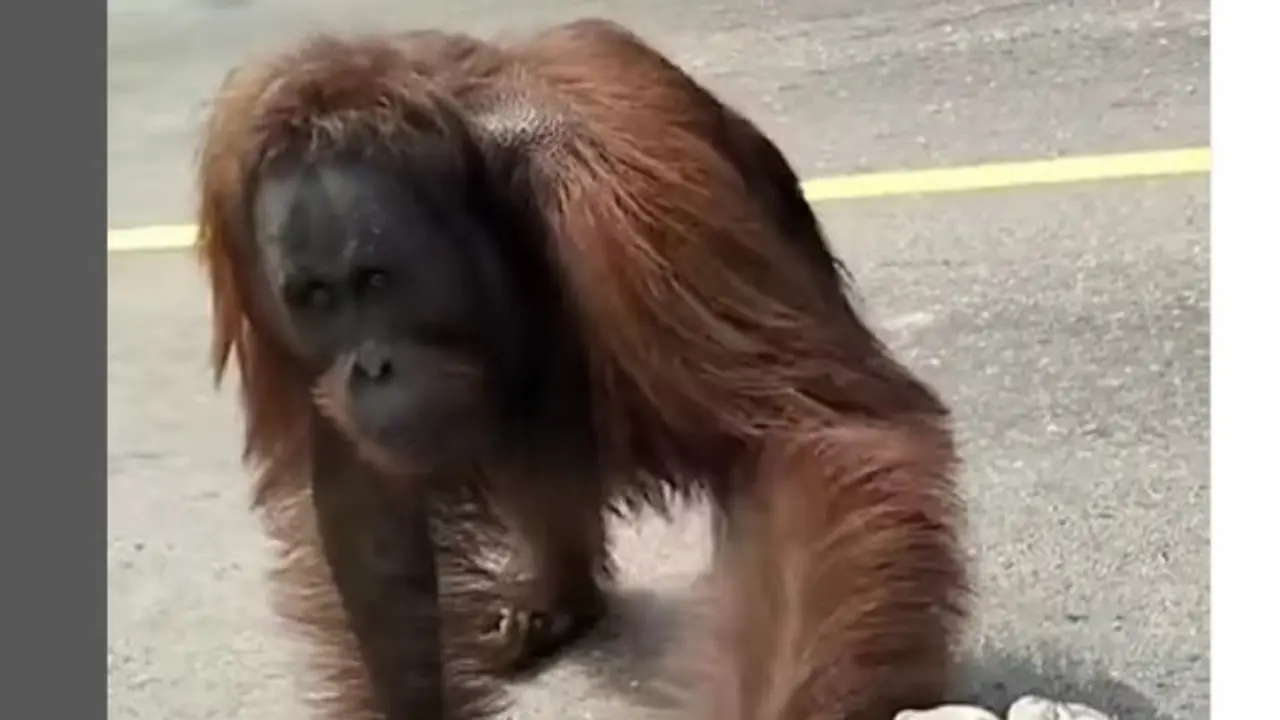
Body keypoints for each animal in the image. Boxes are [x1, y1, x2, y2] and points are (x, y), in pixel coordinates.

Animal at [194, 17, 969, 720]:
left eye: (377, 280)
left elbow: (813, 433)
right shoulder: (242, 248)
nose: (372, 367)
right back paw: (554, 599)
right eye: (317, 297)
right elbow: (366, 502)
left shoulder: (629, 195)